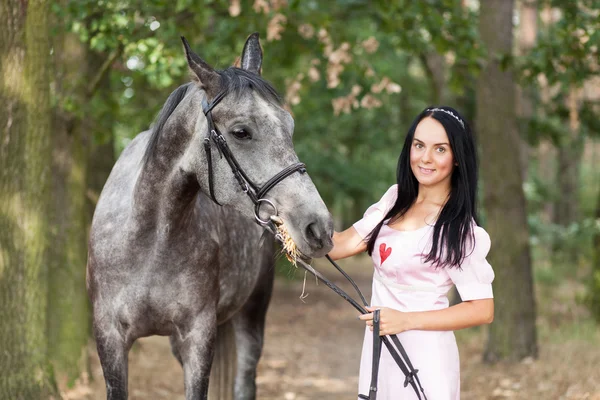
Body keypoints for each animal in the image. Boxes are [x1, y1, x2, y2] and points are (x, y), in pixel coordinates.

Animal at [86, 32, 336, 398]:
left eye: (289, 125)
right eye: (241, 132)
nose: (319, 228)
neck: (149, 238)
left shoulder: (199, 337)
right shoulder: (110, 338)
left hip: (251, 317)